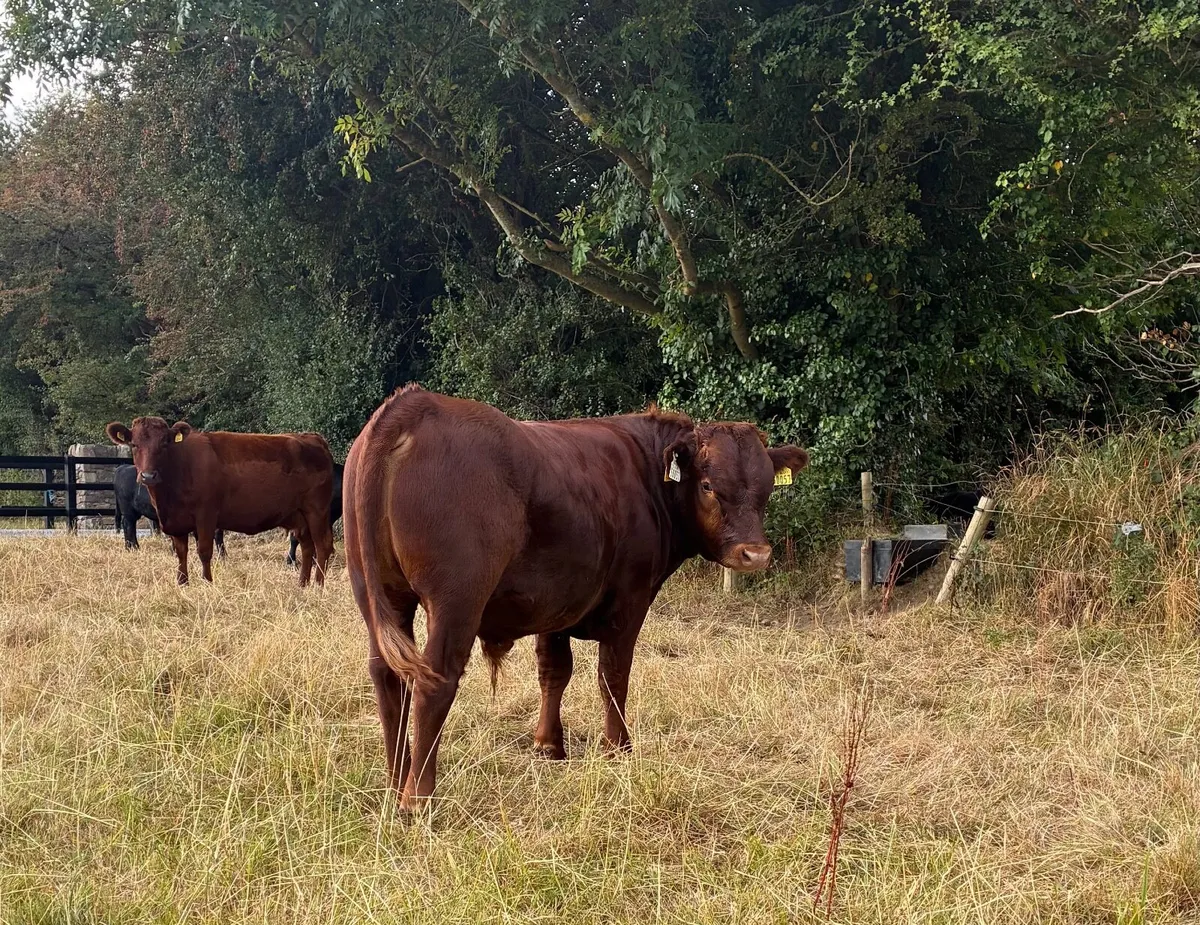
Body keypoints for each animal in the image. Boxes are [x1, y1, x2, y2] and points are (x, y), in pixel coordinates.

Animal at [105, 418, 335, 586]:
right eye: (134, 444)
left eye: (164, 443)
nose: (148, 476)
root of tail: (312, 437)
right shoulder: (176, 521)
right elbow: (181, 553)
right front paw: (182, 583)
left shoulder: (206, 515)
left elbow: (204, 551)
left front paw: (207, 582)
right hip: (298, 516)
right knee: (307, 547)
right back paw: (302, 584)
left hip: (317, 511)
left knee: (322, 546)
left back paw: (318, 585)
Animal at [344, 385, 809, 810]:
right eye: (709, 485)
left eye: (767, 487)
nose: (755, 553)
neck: (645, 471)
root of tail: (415, 402)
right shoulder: (630, 599)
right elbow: (613, 676)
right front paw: (618, 748)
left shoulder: (556, 602)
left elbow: (554, 671)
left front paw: (549, 746)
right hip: (456, 601)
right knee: (434, 680)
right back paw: (418, 798)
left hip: (379, 595)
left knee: (387, 674)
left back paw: (394, 782)